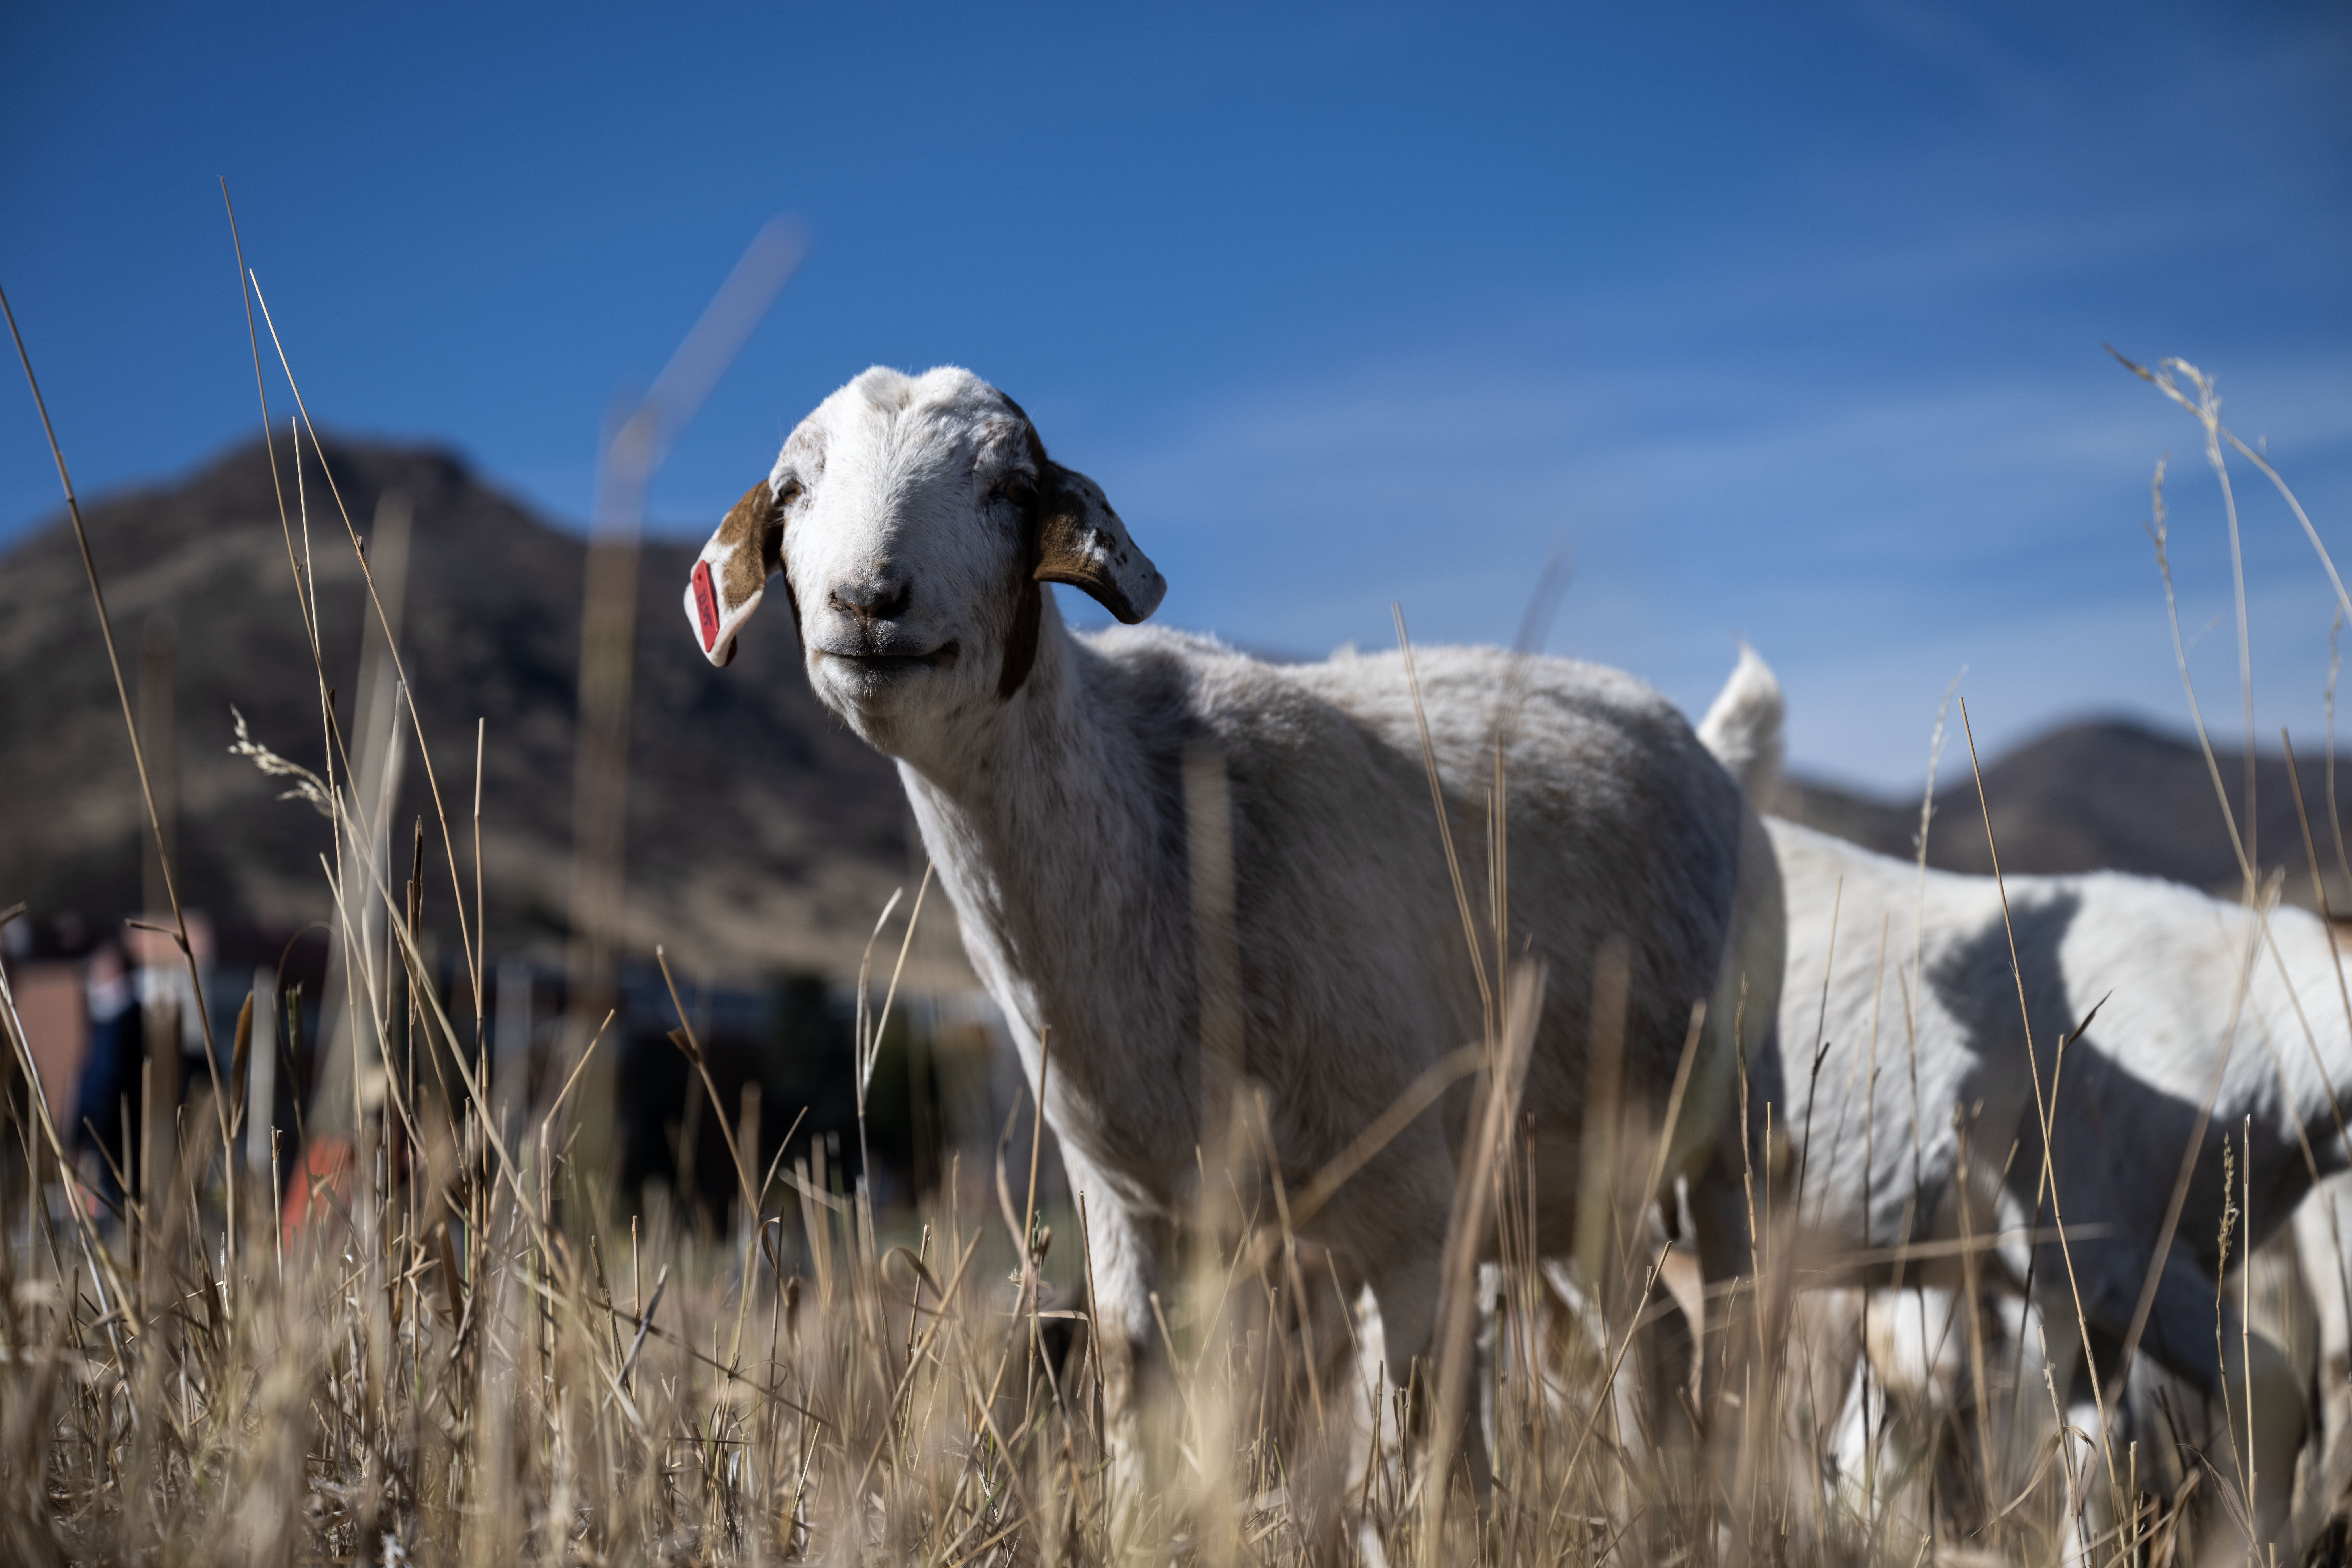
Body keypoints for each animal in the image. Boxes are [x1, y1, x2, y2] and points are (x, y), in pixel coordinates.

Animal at [683, 364, 1785, 1491]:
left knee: (1737, 1324)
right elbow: (1145, 1419)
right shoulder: (1133, 1216)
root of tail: (1703, 743)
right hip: (1574, 1179)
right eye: (794, 489)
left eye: (1009, 486)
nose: (868, 601)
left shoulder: (1412, 1214)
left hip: (1736, 1123)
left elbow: (1425, 1448)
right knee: (1650, 1333)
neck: (1150, 815)